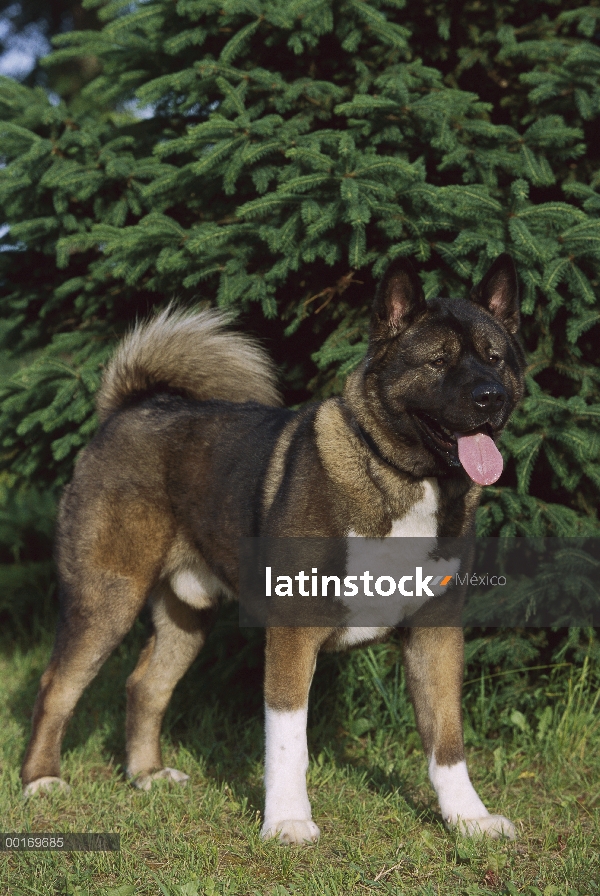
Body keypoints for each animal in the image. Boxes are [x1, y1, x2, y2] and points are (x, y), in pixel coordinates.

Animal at [21, 254, 524, 848]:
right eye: (438, 361)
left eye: (495, 358)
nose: (490, 397)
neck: (400, 479)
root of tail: (128, 410)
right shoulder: (293, 631)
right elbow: (288, 739)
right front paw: (287, 821)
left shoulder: (435, 632)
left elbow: (446, 739)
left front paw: (468, 818)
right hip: (106, 599)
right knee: (57, 686)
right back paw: (41, 781)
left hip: (185, 615)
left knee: (145, 686)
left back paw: (148, 775)